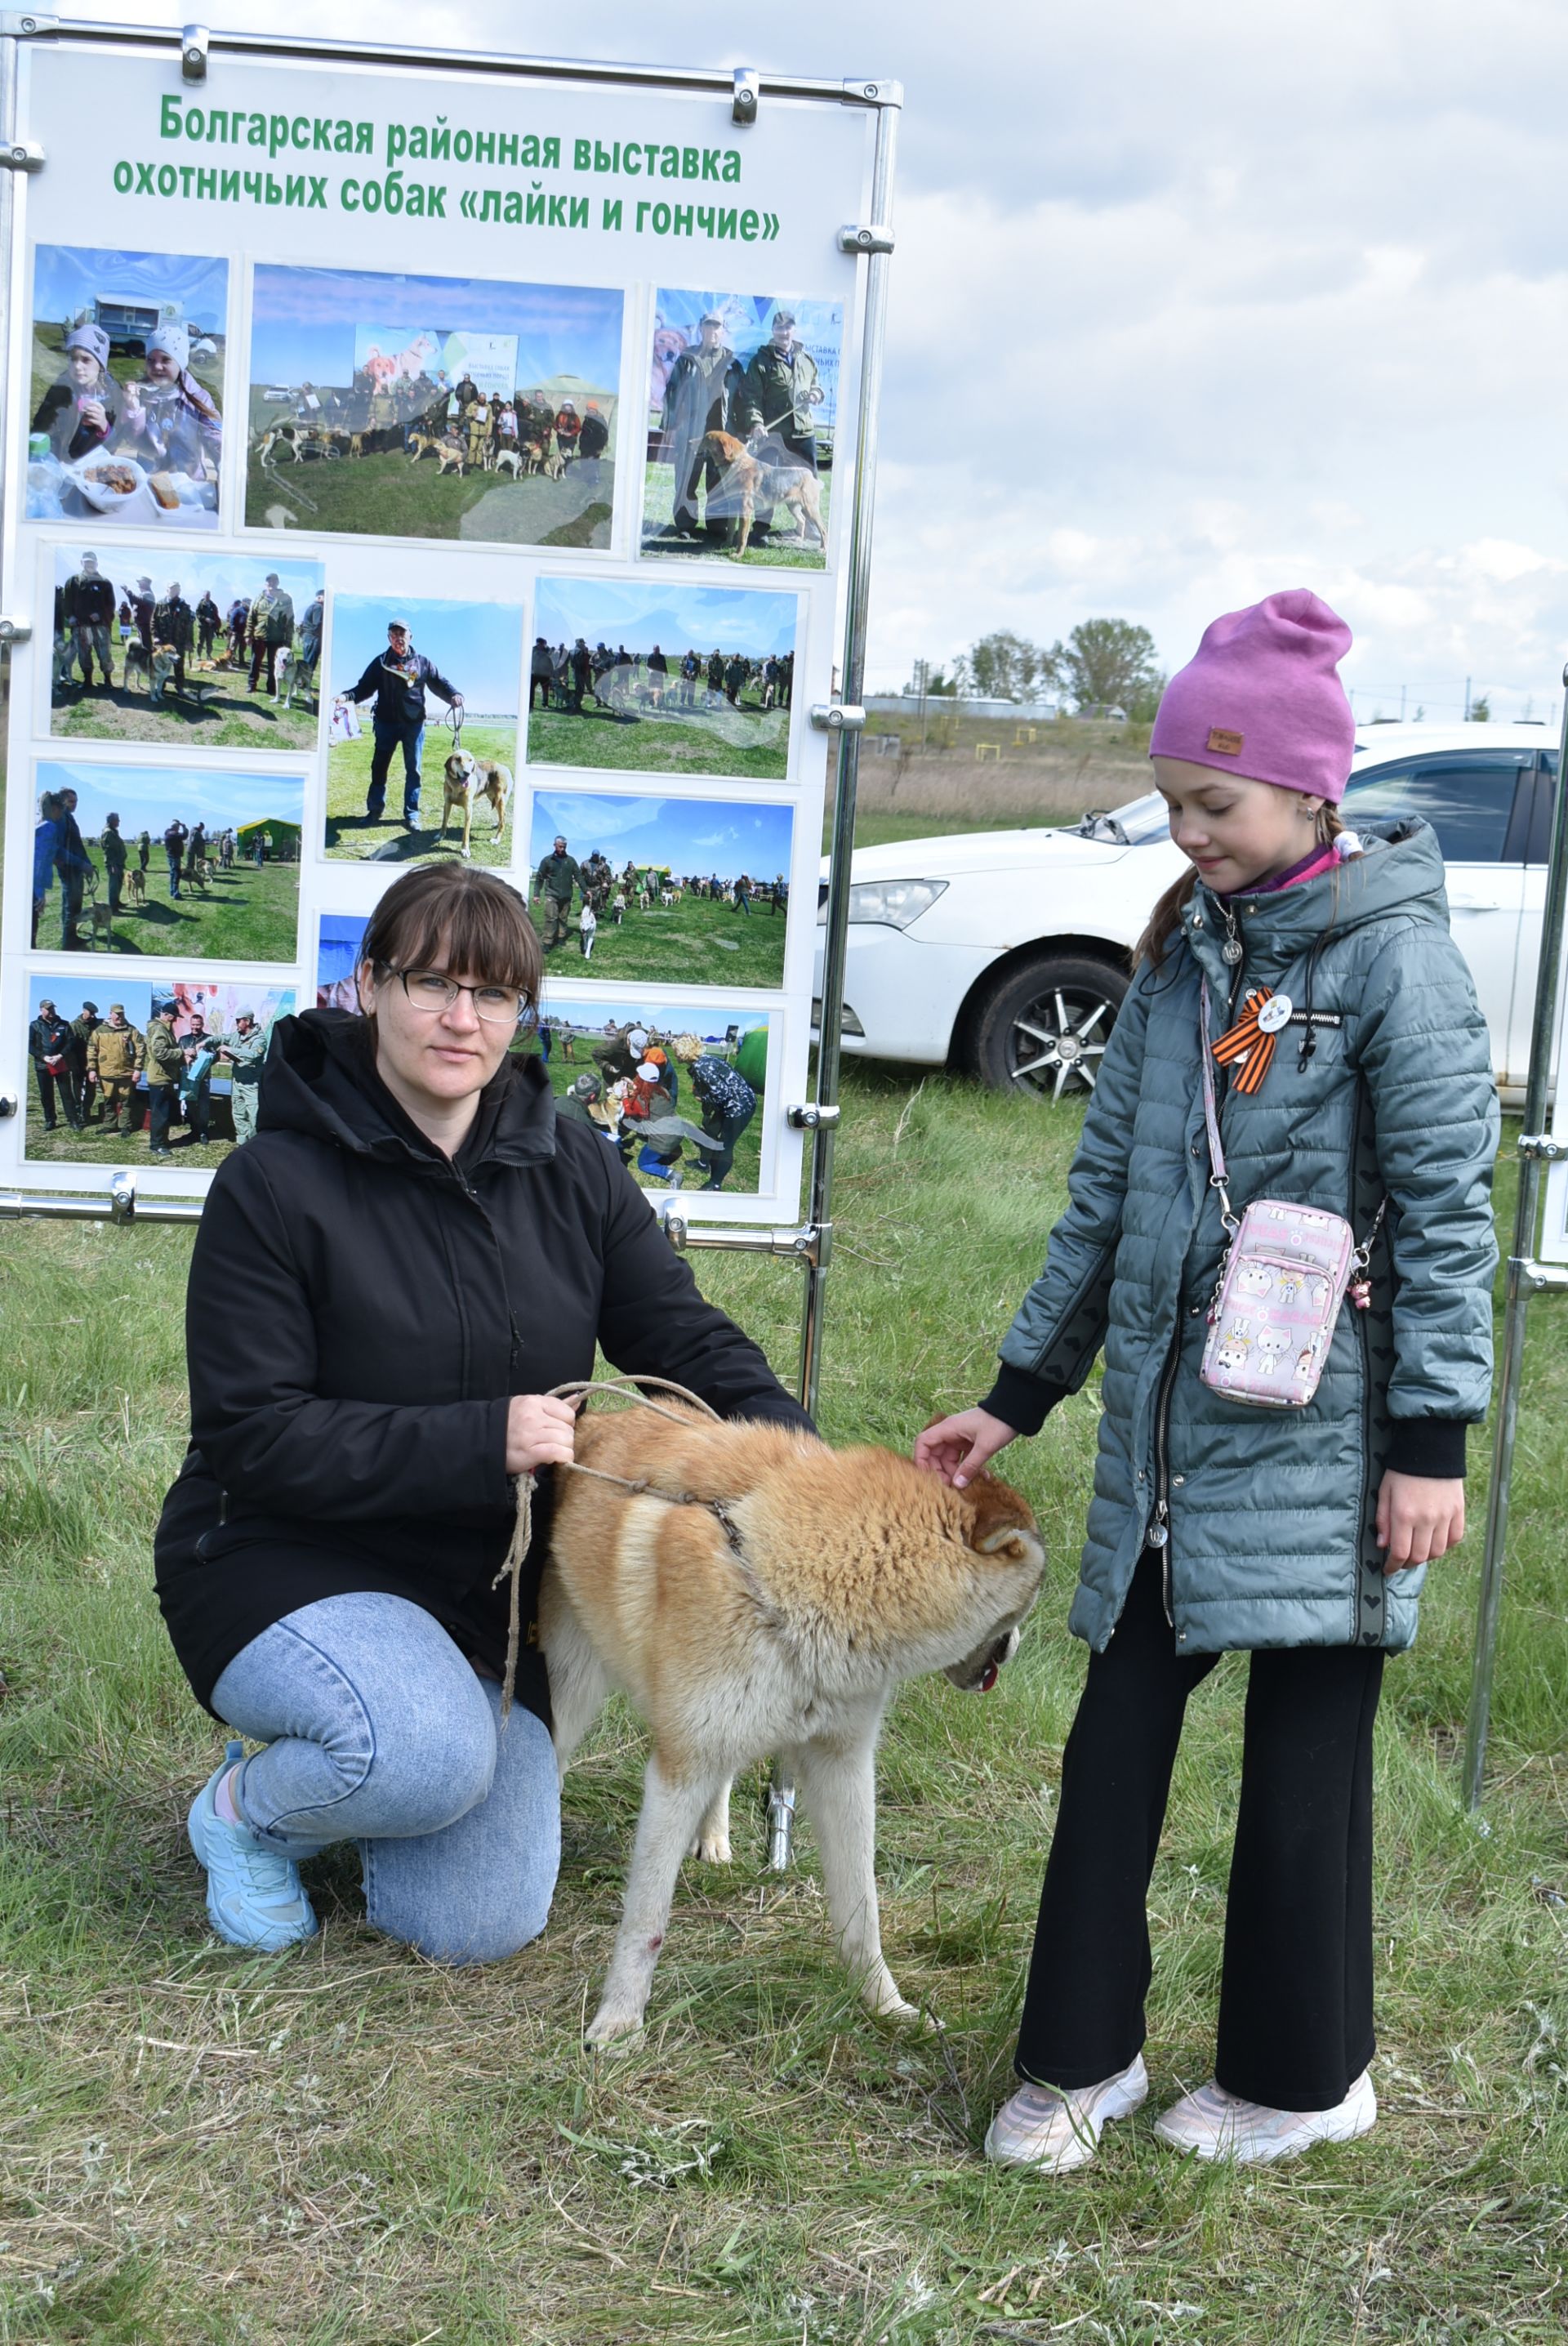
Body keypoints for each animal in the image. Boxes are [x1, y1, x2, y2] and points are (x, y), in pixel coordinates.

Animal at [438, 746, 510, 859]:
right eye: (458, 759)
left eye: (470, 760)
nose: (467, 773)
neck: (457, 785)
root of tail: (505, 768)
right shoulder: (447, 803)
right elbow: (444, 821)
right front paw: (441, 835)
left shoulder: (468, 809)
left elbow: (466, 833)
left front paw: (465, 849)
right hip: (493, 797)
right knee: (503, 816)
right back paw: (496, 825)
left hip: (500, 800)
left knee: (503, 820)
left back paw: (497, 839)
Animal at [543, 1398, 1045, 2045]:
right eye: (1041, 1585)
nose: (1016, 1648)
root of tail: (592, 1419)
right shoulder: (681, 1767)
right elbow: (645, 1921)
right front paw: (619, 2023)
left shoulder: (843, 1763)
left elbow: (862, 1912)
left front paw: (887, 2010)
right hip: (571, 1692)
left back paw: (713, 1835)